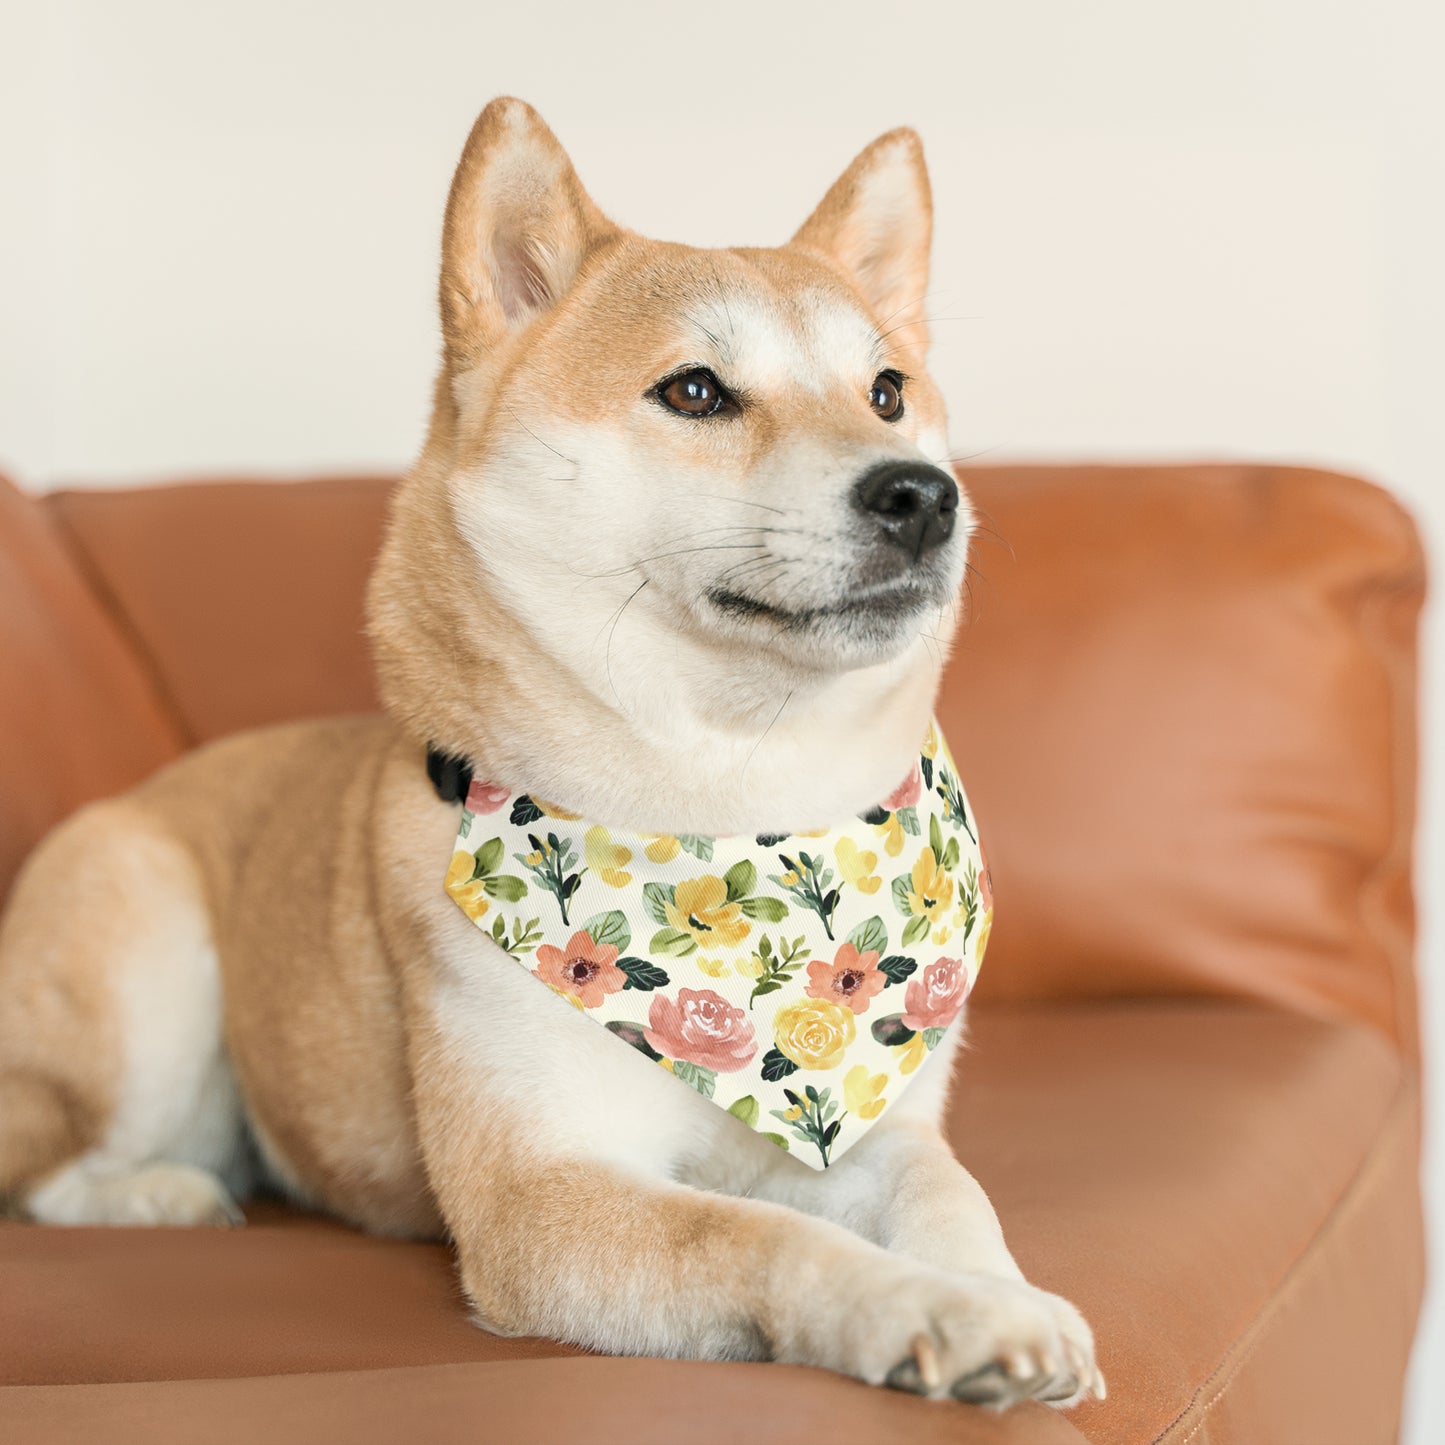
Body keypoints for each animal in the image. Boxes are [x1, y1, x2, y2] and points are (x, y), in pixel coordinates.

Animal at [0, 96, 1098, 1404]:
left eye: (886, 390)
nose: (923, 494)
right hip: (145, 960)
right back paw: (162, 1192)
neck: (734, 809)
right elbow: (765, 1236)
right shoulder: (540, 1196)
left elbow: (949, 1194)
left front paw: (1002, 1295)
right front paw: (927, 1308)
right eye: (694, 390)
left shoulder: (882, 1128)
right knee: (48, 1165)